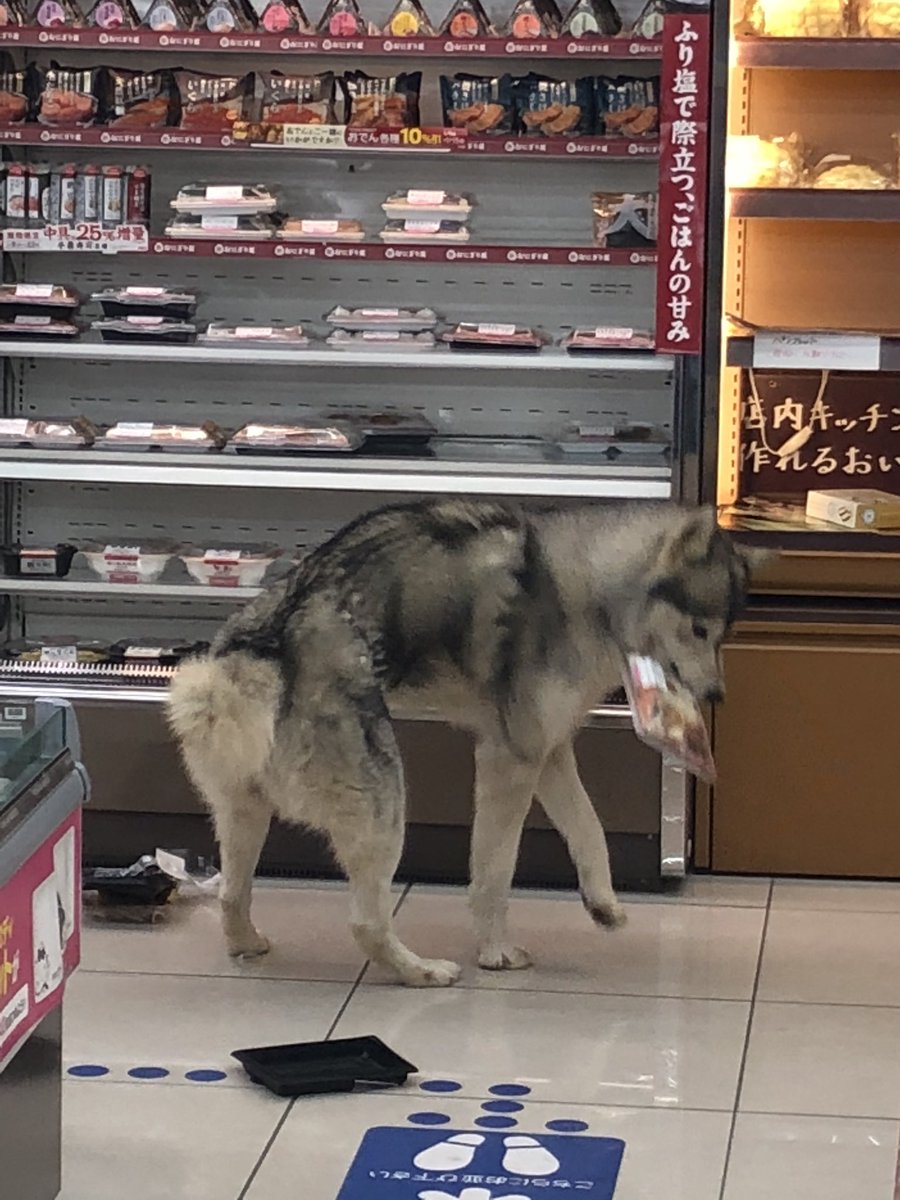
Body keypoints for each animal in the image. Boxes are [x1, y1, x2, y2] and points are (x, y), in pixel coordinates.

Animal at [168, 496, 763, 984]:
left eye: (725, 634)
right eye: (699, 629)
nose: (718, 694)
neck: (585, 590)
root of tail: (264, 651)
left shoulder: (547, 753)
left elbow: (590, 831)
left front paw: (603, 906)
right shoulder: (510, 761)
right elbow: (494, 871)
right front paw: (495, 952)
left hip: (247, 810)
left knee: (232, 892)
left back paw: (246, 944)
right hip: (384, 807)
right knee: (365, 922)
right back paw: (421, 972)